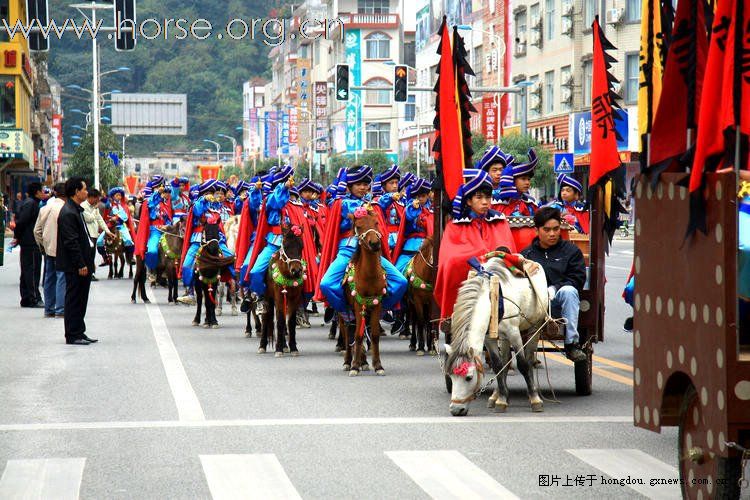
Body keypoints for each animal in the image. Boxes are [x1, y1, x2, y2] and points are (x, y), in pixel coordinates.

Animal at [258, 225, 306, 358]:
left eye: (301, 246)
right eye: (286, 245)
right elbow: (279, 321)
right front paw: (278, 349)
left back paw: (285, 346)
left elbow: (290, 322)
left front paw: (293, 348)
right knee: (266, 318)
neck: (287, 275)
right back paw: (262, 346)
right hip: (268, 298)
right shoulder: (279, 297)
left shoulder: (294, 298)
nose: (296, 270)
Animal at [340, 209, 388, 376]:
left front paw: (378, 365)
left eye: (376, 223)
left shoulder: (377, 303)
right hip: (344, 310)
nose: (375, 243)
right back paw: (348, 361)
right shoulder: (357, 303)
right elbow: (358, 335)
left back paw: (364, 361)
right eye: (359, 226)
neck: (369, 275)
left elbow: (374, 335)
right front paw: (354, 366)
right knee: (347, 331)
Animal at [444, 256, 548, 416]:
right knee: (505, 360)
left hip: (535, 326)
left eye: (469, 377)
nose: (456, 409)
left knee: (529, 358)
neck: (492, 298)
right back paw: (496, 396)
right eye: (450, 376)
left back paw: (532, 391)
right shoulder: (489, 338)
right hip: (502, 337)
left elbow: (523, 364)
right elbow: (498, 365)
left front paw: (535, 400)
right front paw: (502, 399)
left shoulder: (514, 333)